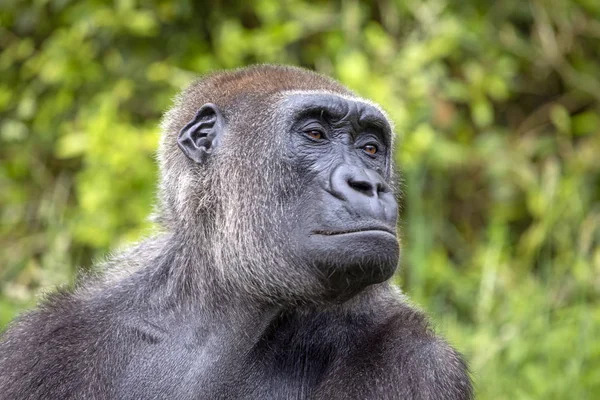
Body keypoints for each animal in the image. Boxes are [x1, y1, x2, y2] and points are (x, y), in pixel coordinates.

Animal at [0, 66, 472, 400]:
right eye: (315, 134)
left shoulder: (418, 361)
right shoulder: (40, 342)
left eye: (371, 149)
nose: (369, 185)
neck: (218, 304)